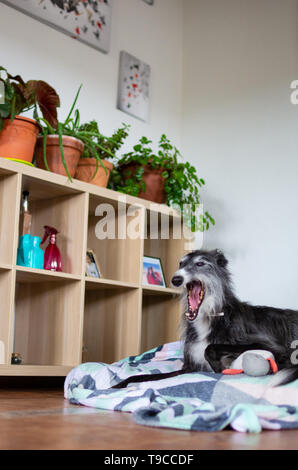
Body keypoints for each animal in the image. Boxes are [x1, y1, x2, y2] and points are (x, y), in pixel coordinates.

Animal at [114, 248, 298, 388]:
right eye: (180, 263)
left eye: (200, 264)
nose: (175, 279)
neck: (208, 318)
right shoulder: (189, 367)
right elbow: (140, 376)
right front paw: (117, 385)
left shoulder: (272, 346)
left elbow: (210, 348)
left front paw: (219, 367)